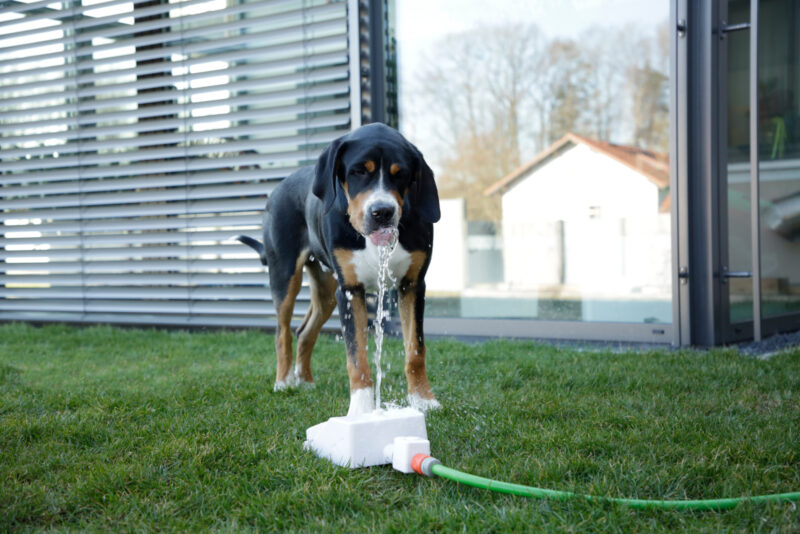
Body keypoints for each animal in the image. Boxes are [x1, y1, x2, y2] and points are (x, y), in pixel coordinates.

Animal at [238, 123, 440, 416]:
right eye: (358, 171)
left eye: (400, 173)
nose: (382, 212)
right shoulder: (350, 291)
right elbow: (357, 357)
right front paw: (362, 409)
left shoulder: (412, 285)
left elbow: (415, 350)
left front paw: (423, 400)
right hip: (285, 276)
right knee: (282, 332)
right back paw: (284, 382)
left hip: (326, 291)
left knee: (304, 331)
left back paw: (305, 381)